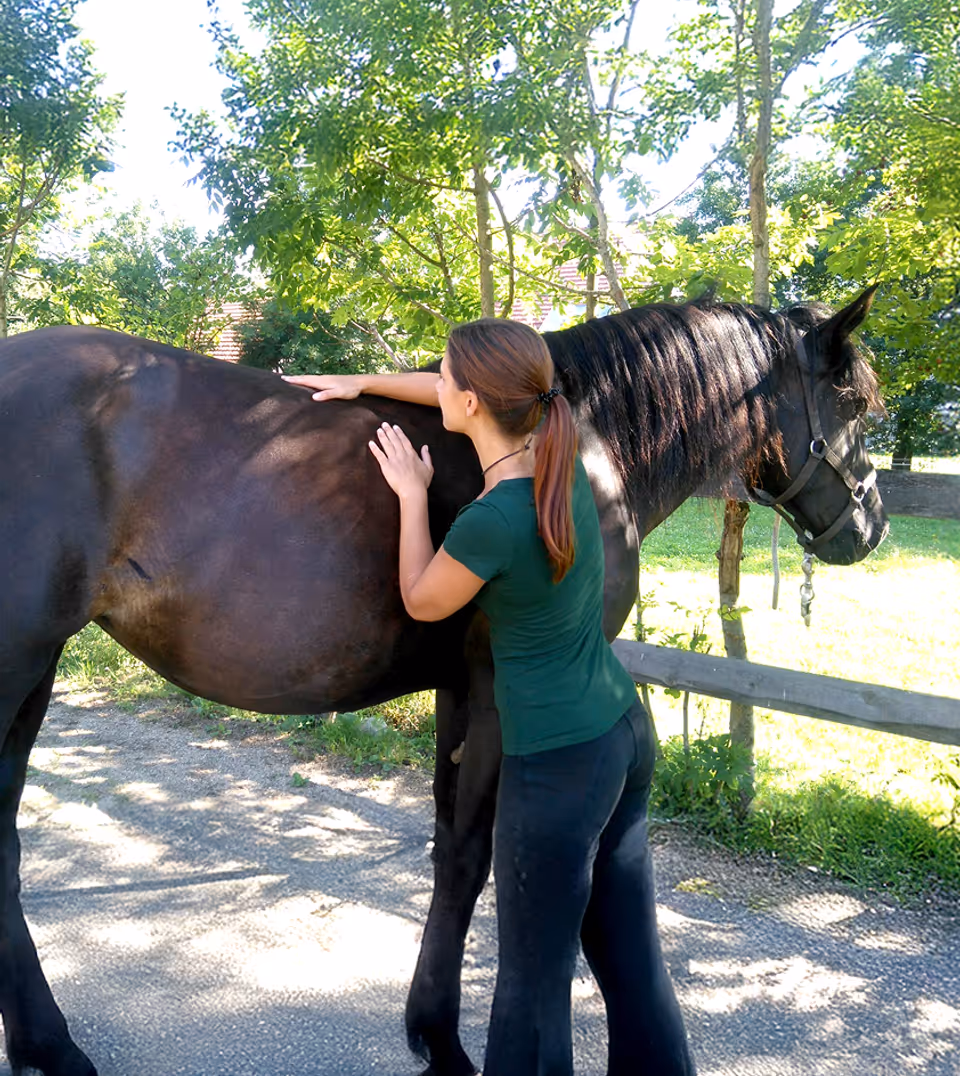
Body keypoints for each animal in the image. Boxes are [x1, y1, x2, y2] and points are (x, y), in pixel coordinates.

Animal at [0, 289, 887, 1076]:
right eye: (856, 403)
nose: (869, 526)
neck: (582, 441)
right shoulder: (495, 689)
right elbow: (471, 855)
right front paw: (443, 1039)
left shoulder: (458, 689)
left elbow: (445, 846)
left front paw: (429, 1028)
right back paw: (53, 1045)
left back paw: (43, 1044)